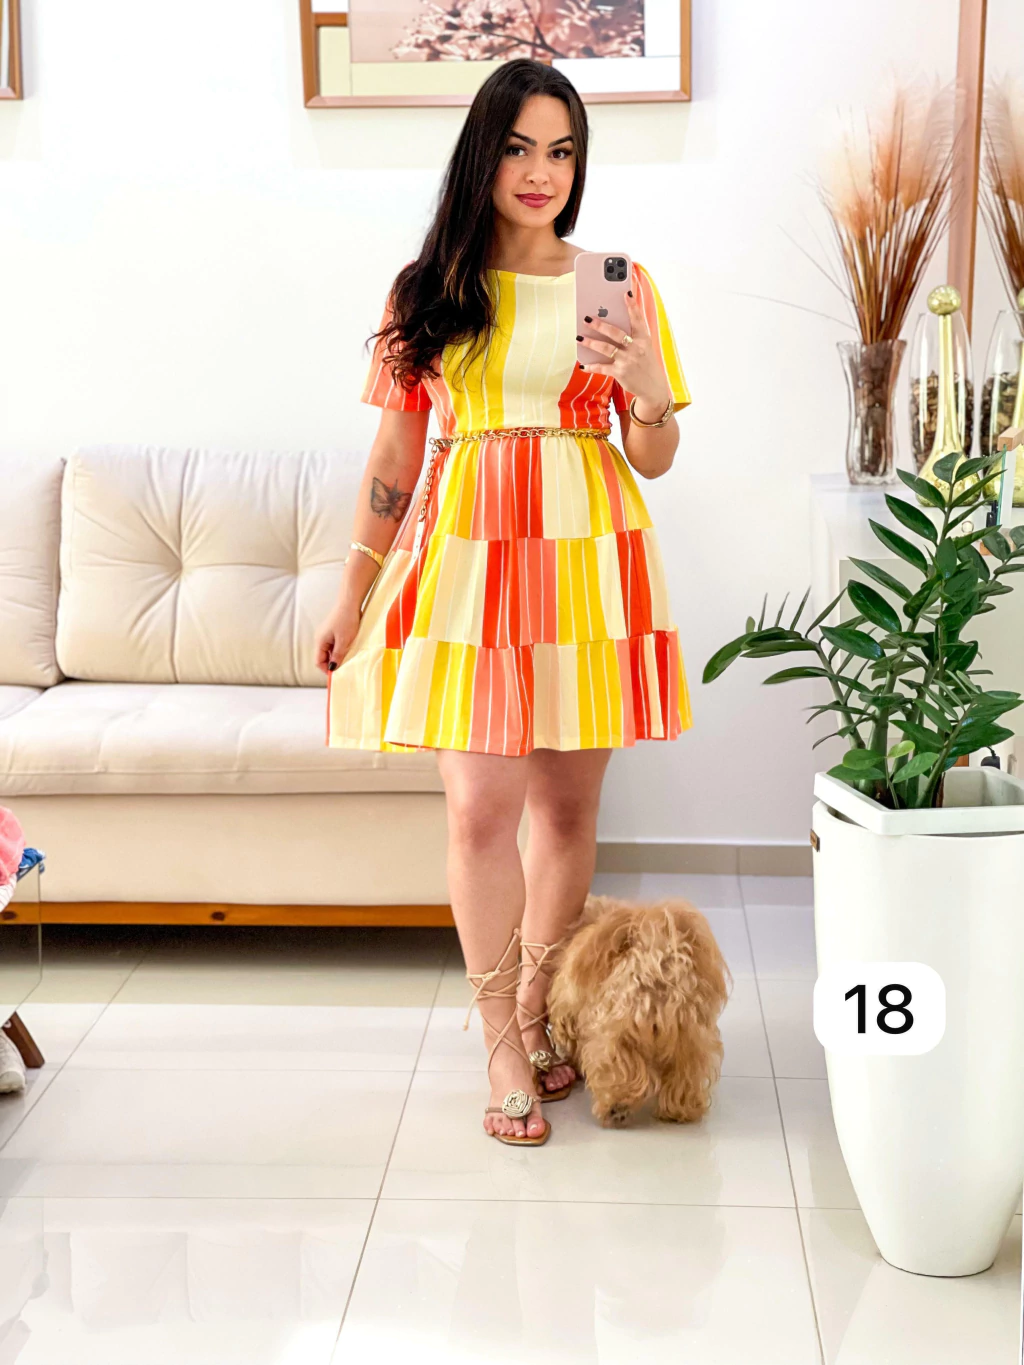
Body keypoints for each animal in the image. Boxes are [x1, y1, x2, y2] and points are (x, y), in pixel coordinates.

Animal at [547, 893, 731, 1128]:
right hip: (690, 1036)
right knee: (687, 1074)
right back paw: (679, 1110)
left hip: (615, 1034)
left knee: (619, 1069)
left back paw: (616, 1108)